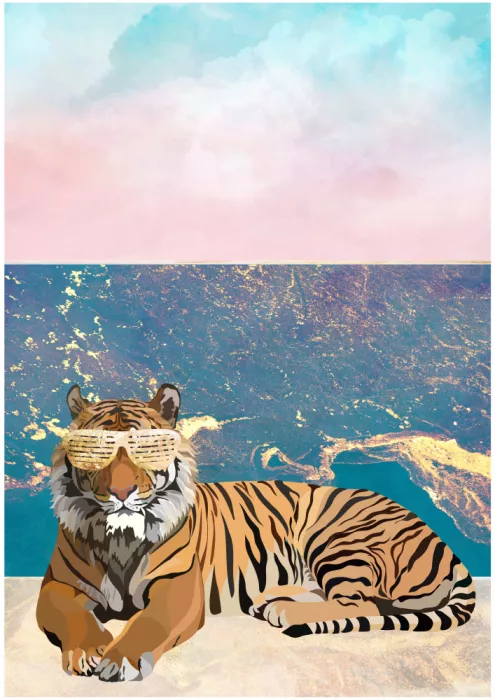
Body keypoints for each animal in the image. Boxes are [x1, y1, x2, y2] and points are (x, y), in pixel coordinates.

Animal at [37, 383, 476, 682]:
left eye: (147, 449)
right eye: (95, 451)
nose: (122, 493)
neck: (121, 539)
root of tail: (438, 538)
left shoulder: (178, 587)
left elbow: (148, 623)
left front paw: (118, 659)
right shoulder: (58, 585)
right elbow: (73, 618)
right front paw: (87, 652)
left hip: (338, 537)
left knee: (363, 605)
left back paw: (284, 610)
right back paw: (271, 601)